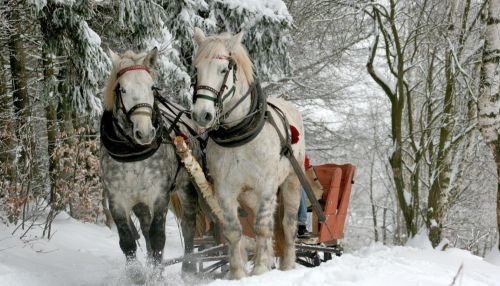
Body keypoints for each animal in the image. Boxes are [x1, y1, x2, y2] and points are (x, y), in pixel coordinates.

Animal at [100, 47, 200, 280]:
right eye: (122, 89)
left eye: (152, 87)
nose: (145, 132)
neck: (134, 153)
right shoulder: (117, 199)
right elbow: (128, 241)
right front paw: (137, 275)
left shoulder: (159, 195)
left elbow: (158, 238)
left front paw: (156, 276)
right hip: (140, 202)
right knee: (145, 230)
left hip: (187, 187)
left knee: (188, 225)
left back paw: (189, 269)